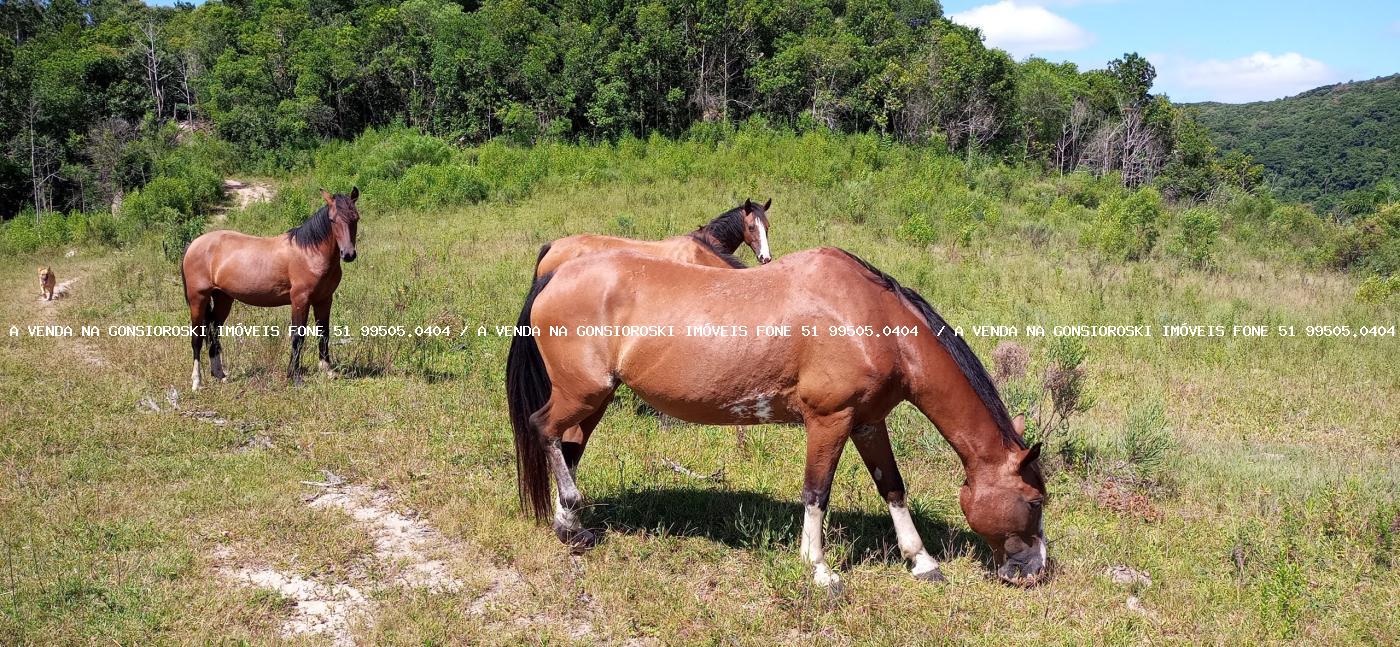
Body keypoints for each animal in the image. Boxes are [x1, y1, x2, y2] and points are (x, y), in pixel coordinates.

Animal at [180, 187, 361, 389]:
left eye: (356, 218)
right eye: (332, 220)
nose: (348, 254)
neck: (310, 253)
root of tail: (193, 245)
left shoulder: (324, 300)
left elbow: (324, 333)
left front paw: (327, 370)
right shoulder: (300, 300)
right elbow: (298, 336)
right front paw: (295, 376)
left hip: (223, 298)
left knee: (213, 330)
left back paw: (220, 374)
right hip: (198, 298)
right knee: (197, 337)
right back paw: (197, 382)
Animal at [509, 246, 1047, 585]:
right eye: (1035, 501)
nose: (1037, 570)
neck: (870, 320)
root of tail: (555, 275)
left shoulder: (868, 422)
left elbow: (892, 488)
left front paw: (922, 562)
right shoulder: (829, 421)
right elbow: (816, 493)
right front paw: (819, 569)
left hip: (594, 399)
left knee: (569, 445)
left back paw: (572, 527)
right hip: (584, 393)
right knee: (545, 431)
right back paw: (570, 517)